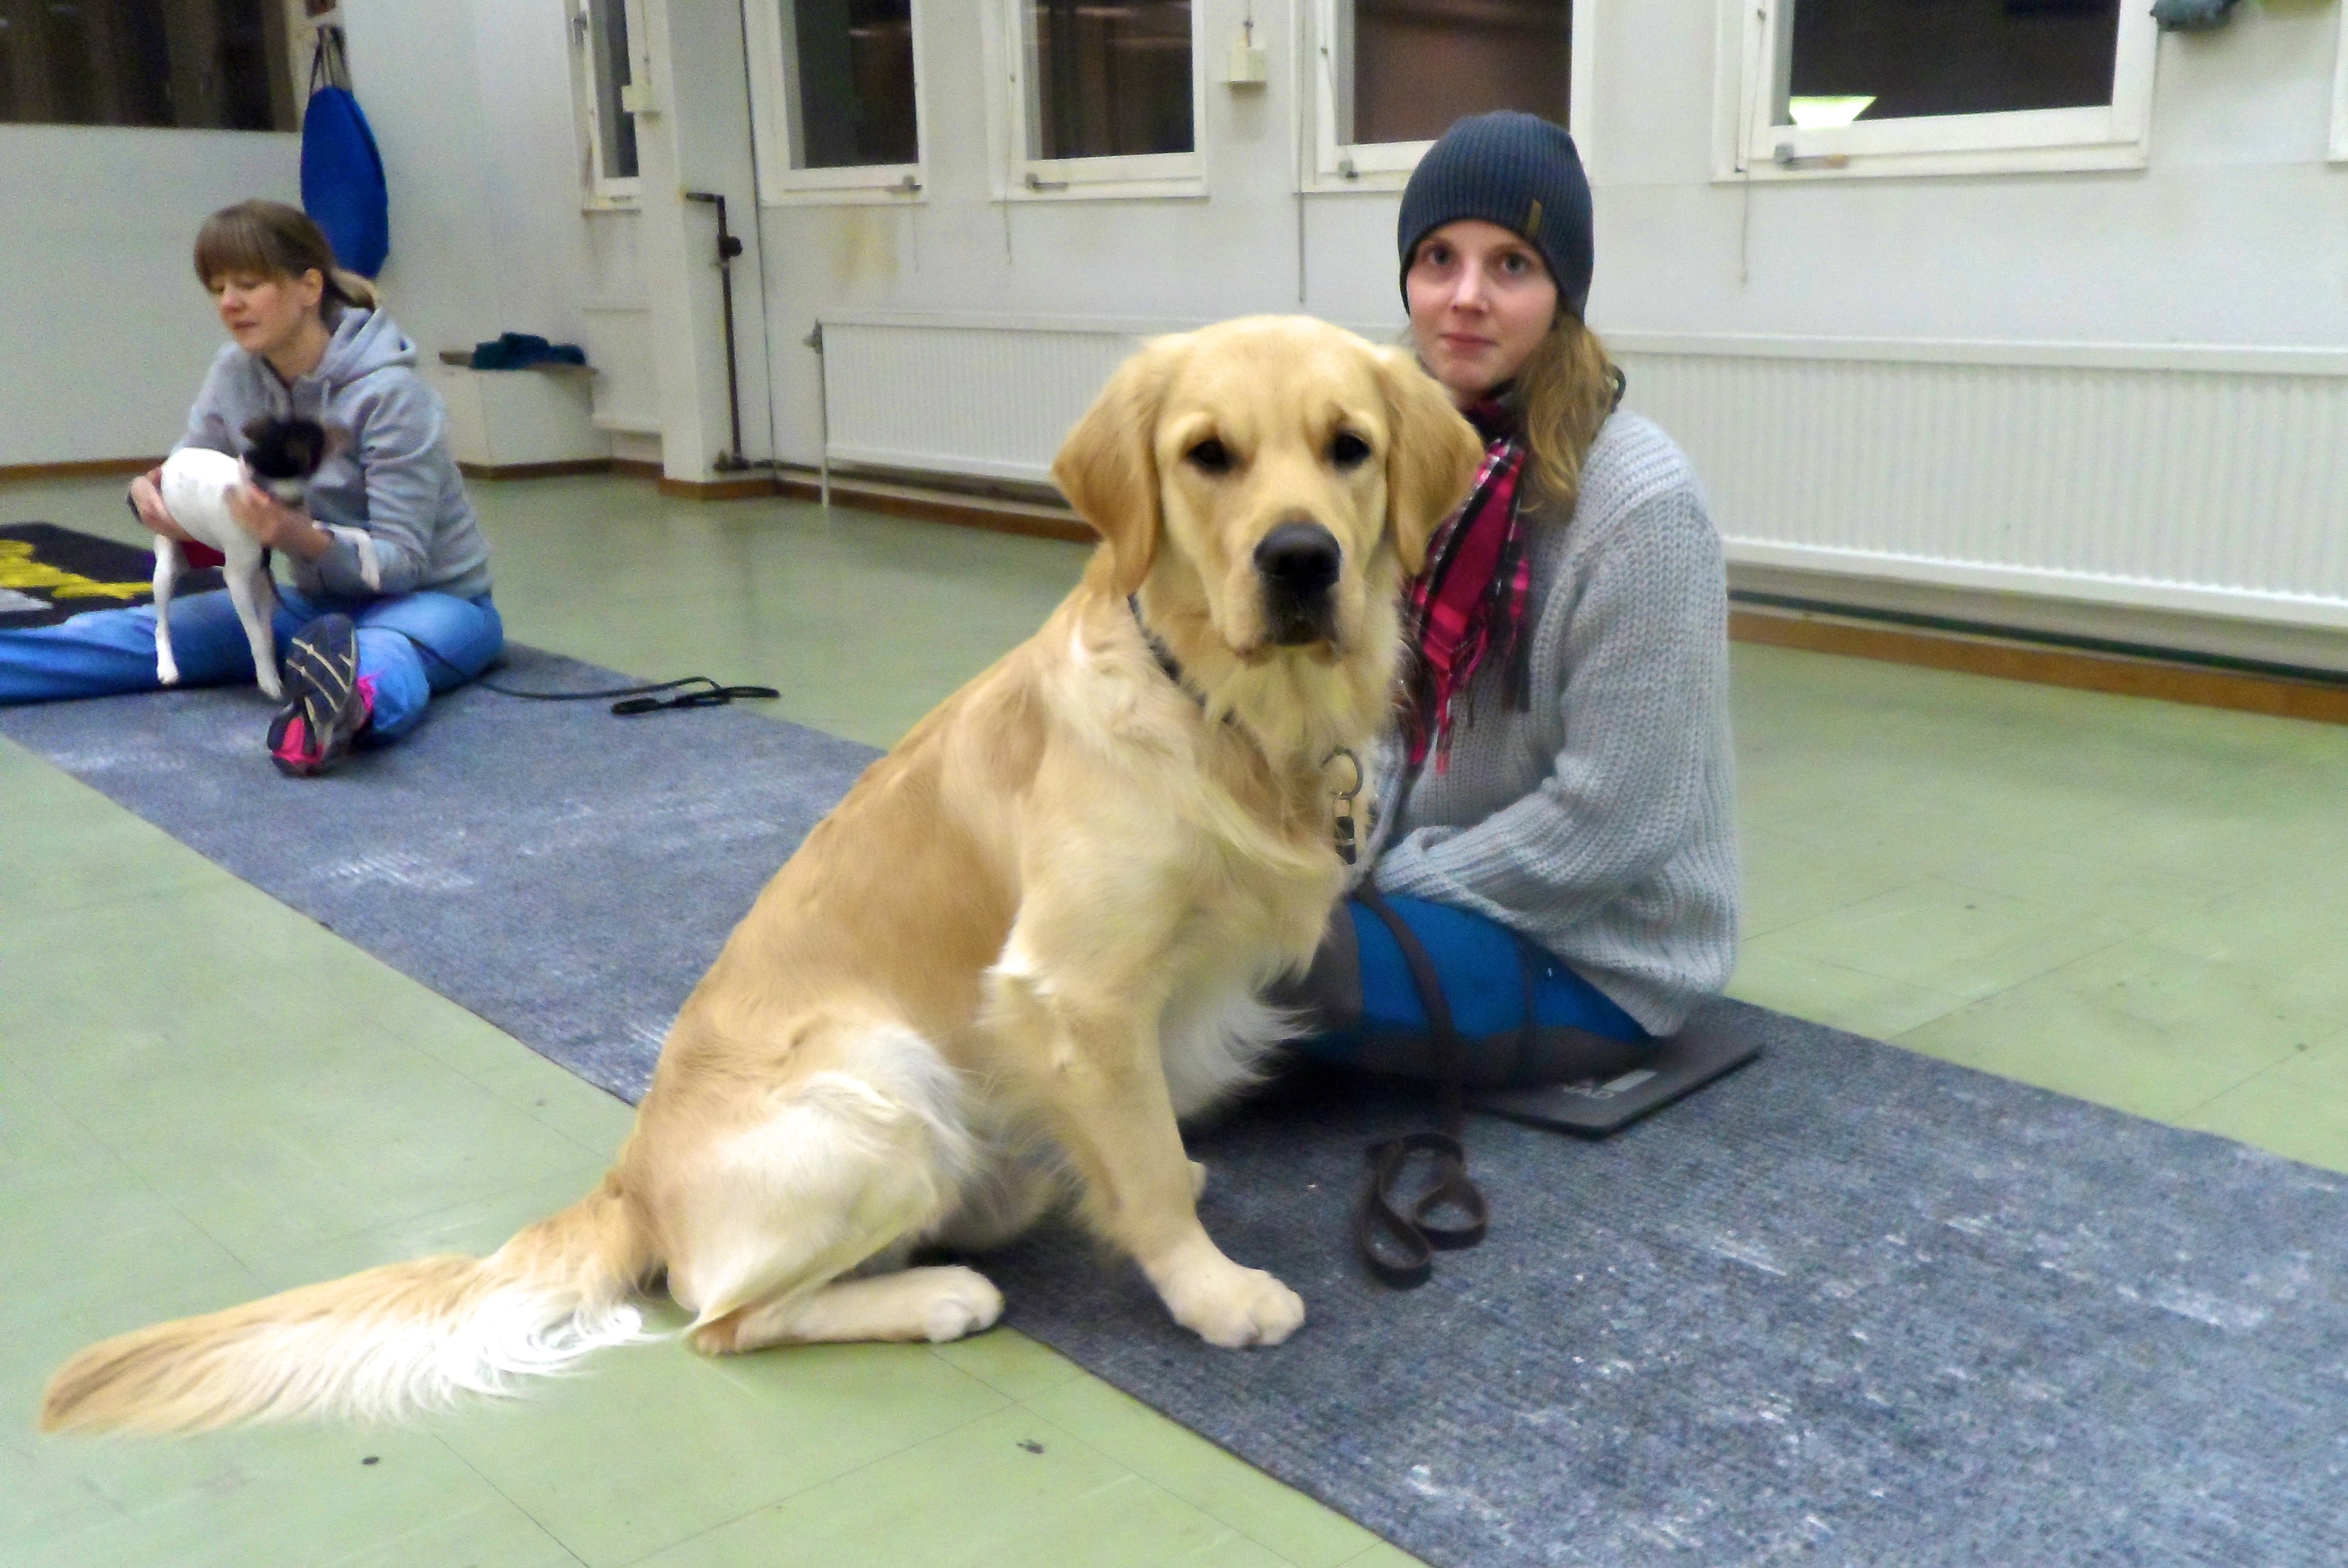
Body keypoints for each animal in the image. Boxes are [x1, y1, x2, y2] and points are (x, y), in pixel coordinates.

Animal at [153, 416, 334, 701]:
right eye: (318, 436)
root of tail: (171, 461)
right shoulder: (238, 581)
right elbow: (256, 636)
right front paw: (268, 681)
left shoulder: (263, 579)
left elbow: (265, 633)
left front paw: (270, 671)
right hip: (164, 568)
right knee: (162, 625)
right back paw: (168, 668)